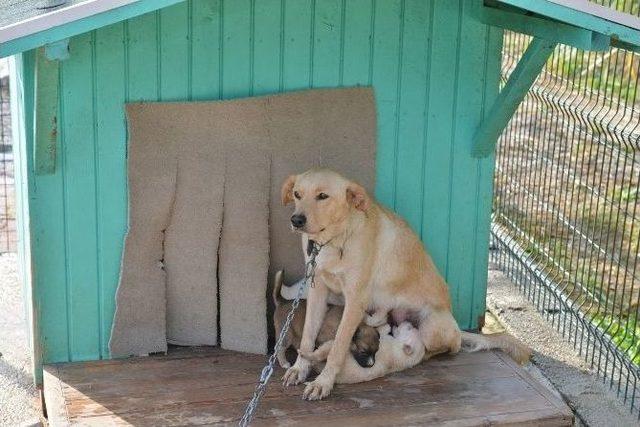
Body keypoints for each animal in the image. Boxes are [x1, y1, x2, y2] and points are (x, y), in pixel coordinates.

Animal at [280, 170, 528, 402]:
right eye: (297, 194)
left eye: (323, 196)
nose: (296, 220)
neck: (334, 240)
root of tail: (458, 328)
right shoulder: (317, 290)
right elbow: (308, 336)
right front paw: (300, 368)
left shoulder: (354, 301)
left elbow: (338, 346)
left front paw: (323, 382)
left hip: (432, 326)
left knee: (444, 348)